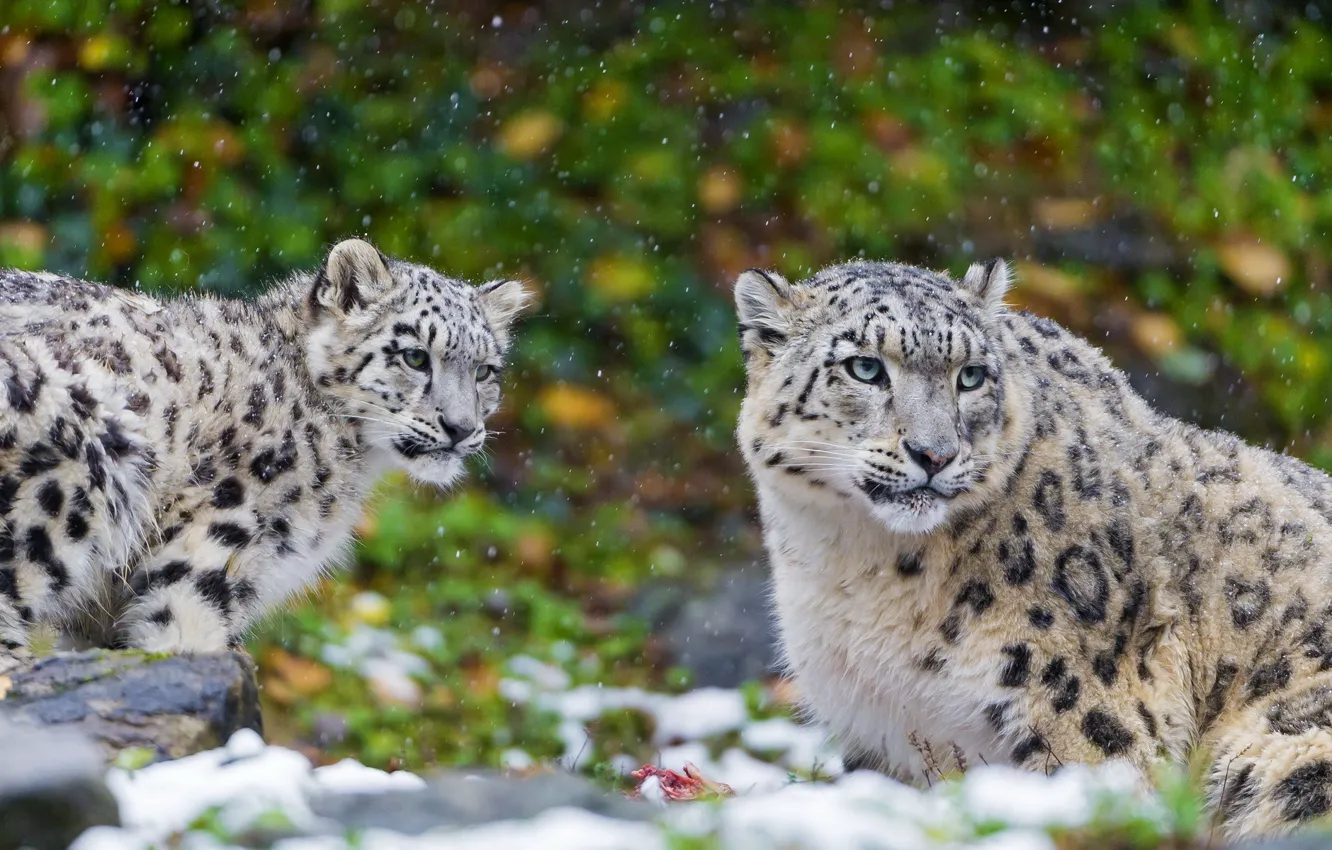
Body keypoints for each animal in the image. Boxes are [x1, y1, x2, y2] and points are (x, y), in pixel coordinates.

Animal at [735, 257, 1332, 839]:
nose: (935, 454)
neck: (859, 567)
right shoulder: (879, 734)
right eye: (864, 367)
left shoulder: (1078, 706)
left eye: (970, 376)